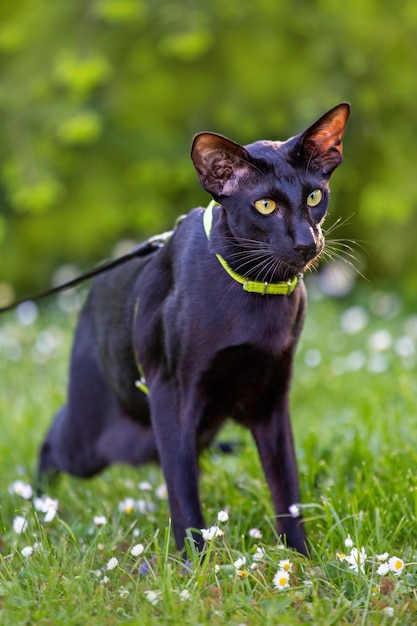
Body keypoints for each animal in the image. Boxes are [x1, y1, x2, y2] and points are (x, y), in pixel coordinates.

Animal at [39, 103, 348, 556]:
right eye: (265, 205)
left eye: (314, 196)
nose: (306, 242)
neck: (259, 289)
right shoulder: (174, 396)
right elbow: (184, 493)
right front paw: (194, 564)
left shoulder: (272, 399)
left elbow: (286, 487)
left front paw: (301, 557)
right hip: (90, 439)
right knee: (52, 440)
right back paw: (37, 503)